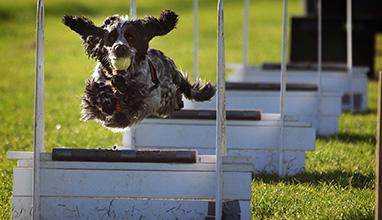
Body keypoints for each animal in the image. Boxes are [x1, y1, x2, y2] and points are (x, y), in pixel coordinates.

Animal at [64, 10, 216, 130]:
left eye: (130, 37)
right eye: (111, 38)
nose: (119, 48)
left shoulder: (147, 96)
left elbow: (133, 98)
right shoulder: (96, 86)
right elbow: (96, 94)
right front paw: (106, 99)